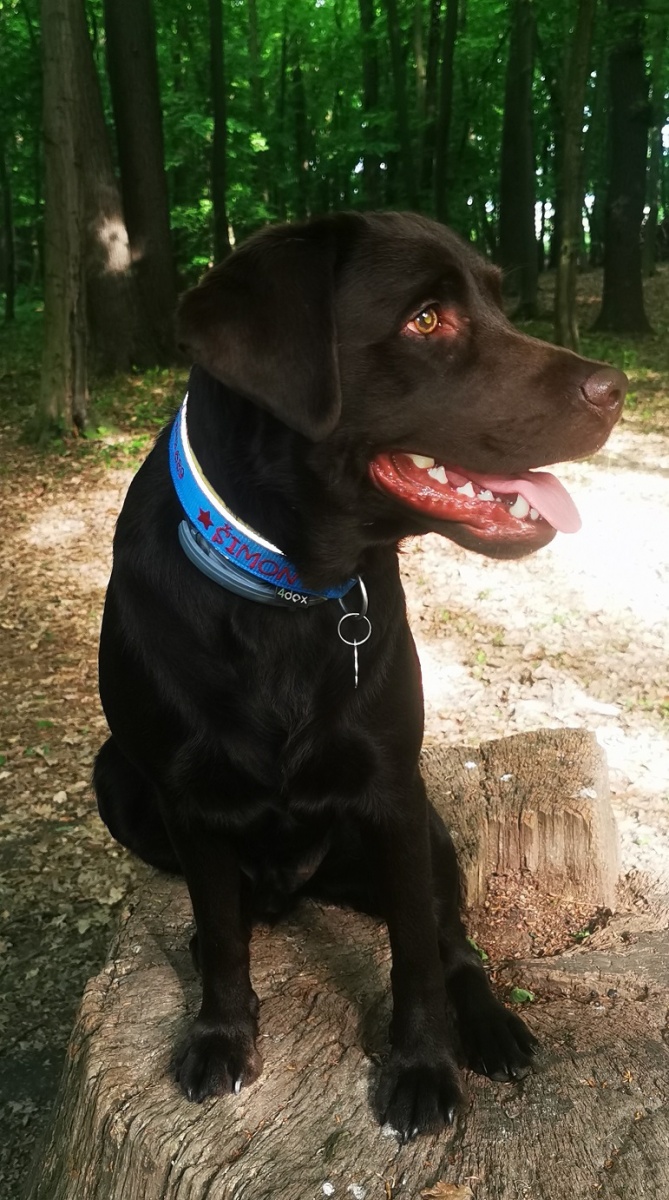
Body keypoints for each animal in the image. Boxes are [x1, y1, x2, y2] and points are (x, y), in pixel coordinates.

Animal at [94, 211, 625, 1140]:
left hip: (431, 828)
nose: (617, 387)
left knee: (454, 943)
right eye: (425, 320)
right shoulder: (185, 797)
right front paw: (221, 1035)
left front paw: (421, 1067)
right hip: (115, 780)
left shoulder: (391, 791)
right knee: (233, 911)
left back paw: (488, 1024)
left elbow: (415, 951)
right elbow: (223, 935)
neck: (287, 592)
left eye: (495, 299)